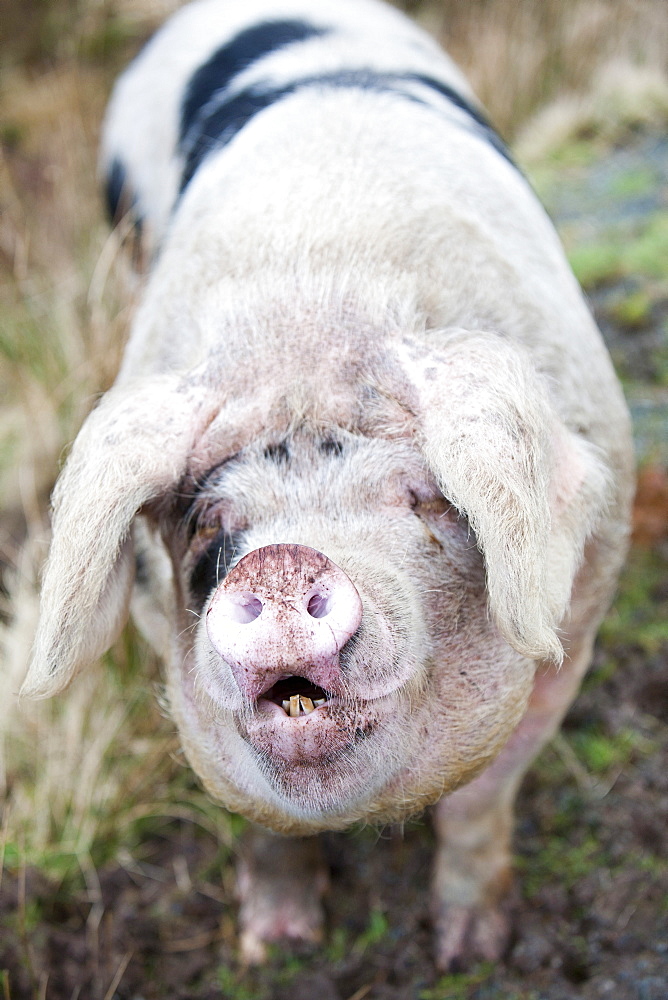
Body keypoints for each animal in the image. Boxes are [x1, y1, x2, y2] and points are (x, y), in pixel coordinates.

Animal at [22, 0, 636, 972]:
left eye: (425, 498)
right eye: (209, 520)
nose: (277, 564)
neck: (311, 311)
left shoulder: (580, 607)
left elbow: (482, 799)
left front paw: (471, 951)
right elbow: (259, 822)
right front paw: (275, 946)